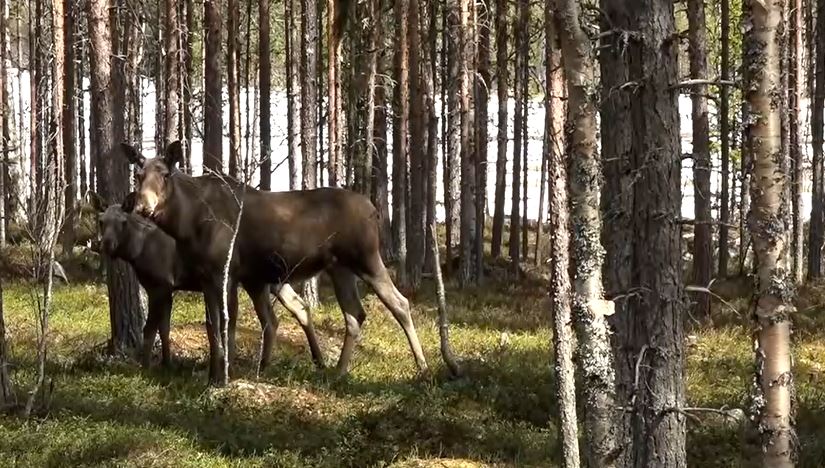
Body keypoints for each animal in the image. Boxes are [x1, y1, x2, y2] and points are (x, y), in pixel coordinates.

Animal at [88, 190, 324, 370]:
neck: (137, 251)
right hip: (272, 281)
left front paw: (145, 368)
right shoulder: (168, 288)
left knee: (278, 317)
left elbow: (149, 330)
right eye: (101, 221)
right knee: (296, 310)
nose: (106, 245)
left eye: (123, 221)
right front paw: (167, 364)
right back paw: (315, 361)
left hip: (260, 281)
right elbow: (164, 329)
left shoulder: (160, 285)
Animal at [122, 141, 432, 386]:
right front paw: (213, 375)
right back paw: (338, 372)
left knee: (400, 303)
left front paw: (224, 376)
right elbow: (212, 327)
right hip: (339, 268)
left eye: (165, 175)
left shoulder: (226, 273)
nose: (143, 207)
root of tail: (375, 210)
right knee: (355, 314)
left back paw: (423, 366)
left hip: (366, 257)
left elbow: (227, 326)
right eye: (137, 175)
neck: (186, 225)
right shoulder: (208, 277)